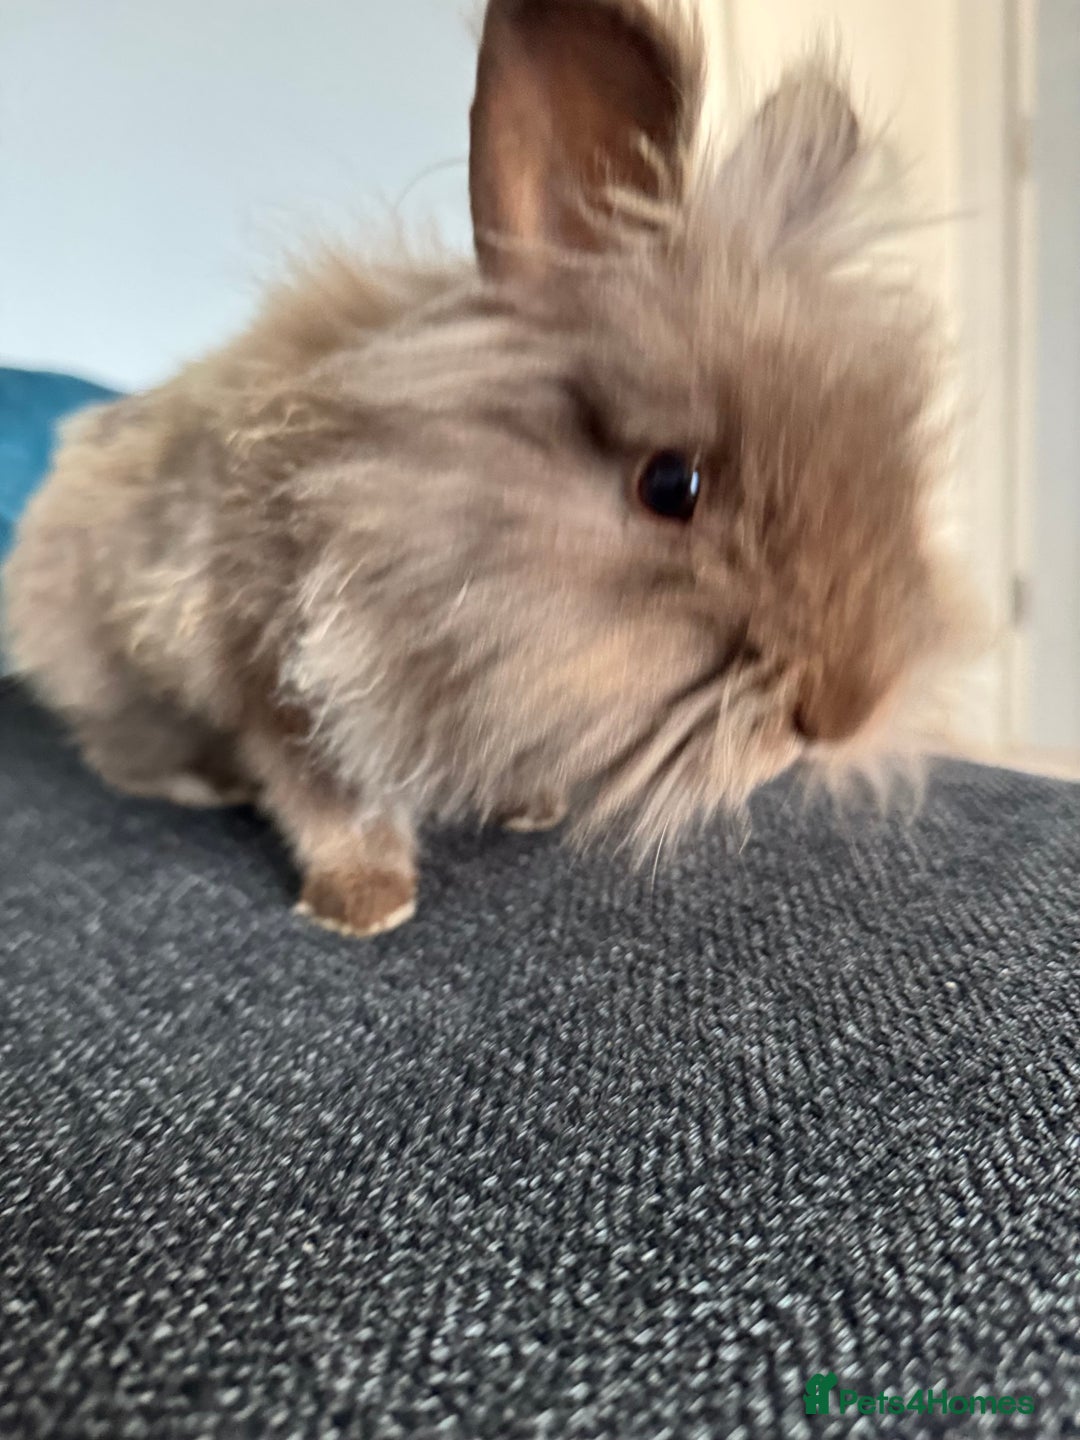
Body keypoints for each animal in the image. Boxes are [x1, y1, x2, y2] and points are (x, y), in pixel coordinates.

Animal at [3, 0, 971, 937]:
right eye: (671, 486)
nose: (844, 713)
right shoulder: (281, 671)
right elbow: (330, 803)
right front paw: (365, 906)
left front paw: (530, 805)